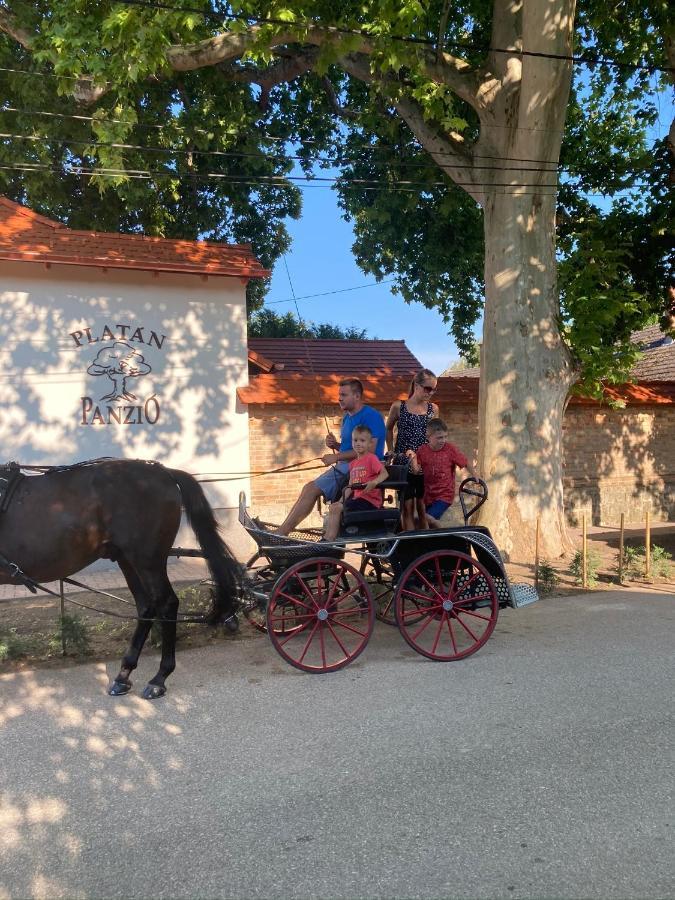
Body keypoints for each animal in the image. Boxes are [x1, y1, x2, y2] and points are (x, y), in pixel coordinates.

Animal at [0, 460, 243, 700]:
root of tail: (163, 471)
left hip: (147, 560)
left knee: (166, 603)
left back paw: (159, 678)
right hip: (127, 559)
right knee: (146, 606)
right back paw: (123, 675)